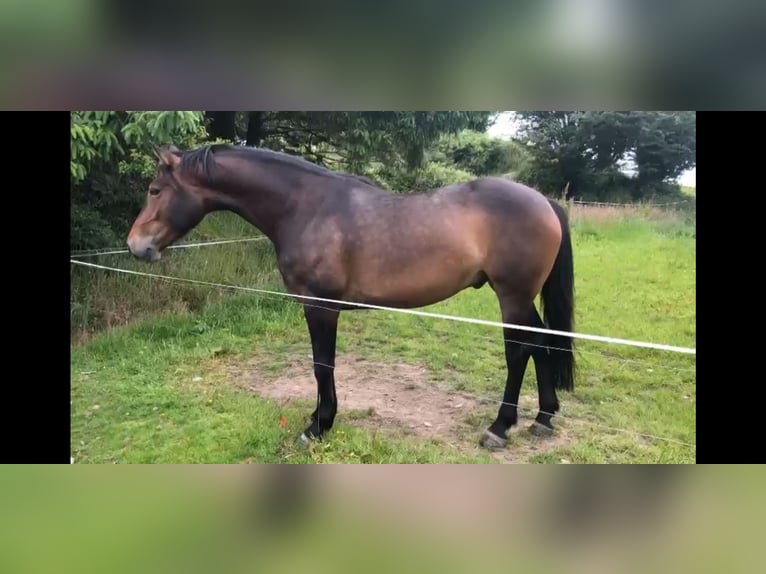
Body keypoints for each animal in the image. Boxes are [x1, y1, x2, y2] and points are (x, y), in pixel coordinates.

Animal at [127, 143, 576, 450]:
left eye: (154, 189)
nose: (136, 246)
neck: (305, 207)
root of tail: (544, 201)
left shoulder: (320, 307)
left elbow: (322, 365)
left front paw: (317, 426)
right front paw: (317, 418)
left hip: (512, 296)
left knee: (520, 350)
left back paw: (500, 427)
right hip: (522, 299)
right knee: (543, 343)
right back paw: (543, 418)